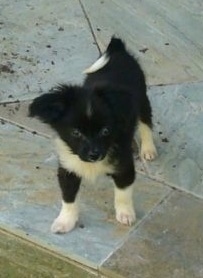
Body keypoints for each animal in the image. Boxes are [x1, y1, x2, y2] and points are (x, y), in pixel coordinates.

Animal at [28, 37, 157, 232]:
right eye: (76, 133)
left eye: (105, 131)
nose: (94, 155)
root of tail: (118, 51)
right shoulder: (68, 168)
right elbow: (68, 198)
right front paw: (65, 221)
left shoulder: (124, 166)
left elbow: (123, 193)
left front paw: (125, 214)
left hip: (142, 100)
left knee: (145, 123)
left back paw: (148, 149)